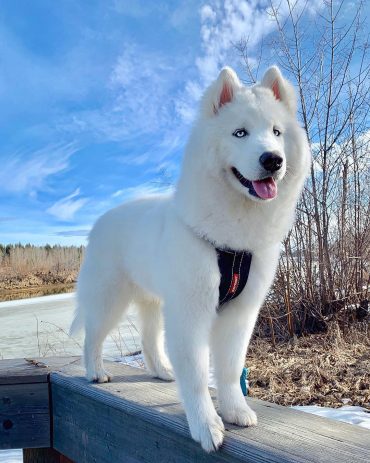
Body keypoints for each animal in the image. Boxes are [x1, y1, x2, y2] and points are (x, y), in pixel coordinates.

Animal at [71, 66, 310, 454]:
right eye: (240, 132)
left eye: (276, 132)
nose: (272, 159)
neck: (233, 238)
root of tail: (102, 219)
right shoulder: (191, 312)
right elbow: (198, 375)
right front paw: (206, 426)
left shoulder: (240, 314)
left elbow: (229, 369)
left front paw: (235, 410)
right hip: (110, 298)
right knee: (92, 336)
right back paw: (95, 372)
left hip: (154, 301)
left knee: (149, 339)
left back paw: (161, 370)